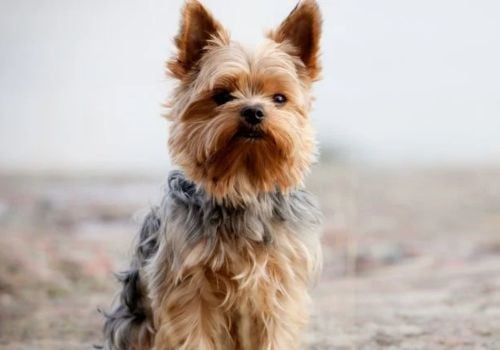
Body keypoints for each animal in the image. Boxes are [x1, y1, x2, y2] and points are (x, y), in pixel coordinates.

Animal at [104, 1, 324, 348]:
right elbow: (193, 332)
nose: (253, 111)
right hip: (133, 324)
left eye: (279, 98)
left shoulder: (280, 285)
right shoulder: (188, 286)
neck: (242, 183)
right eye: (221, 95)